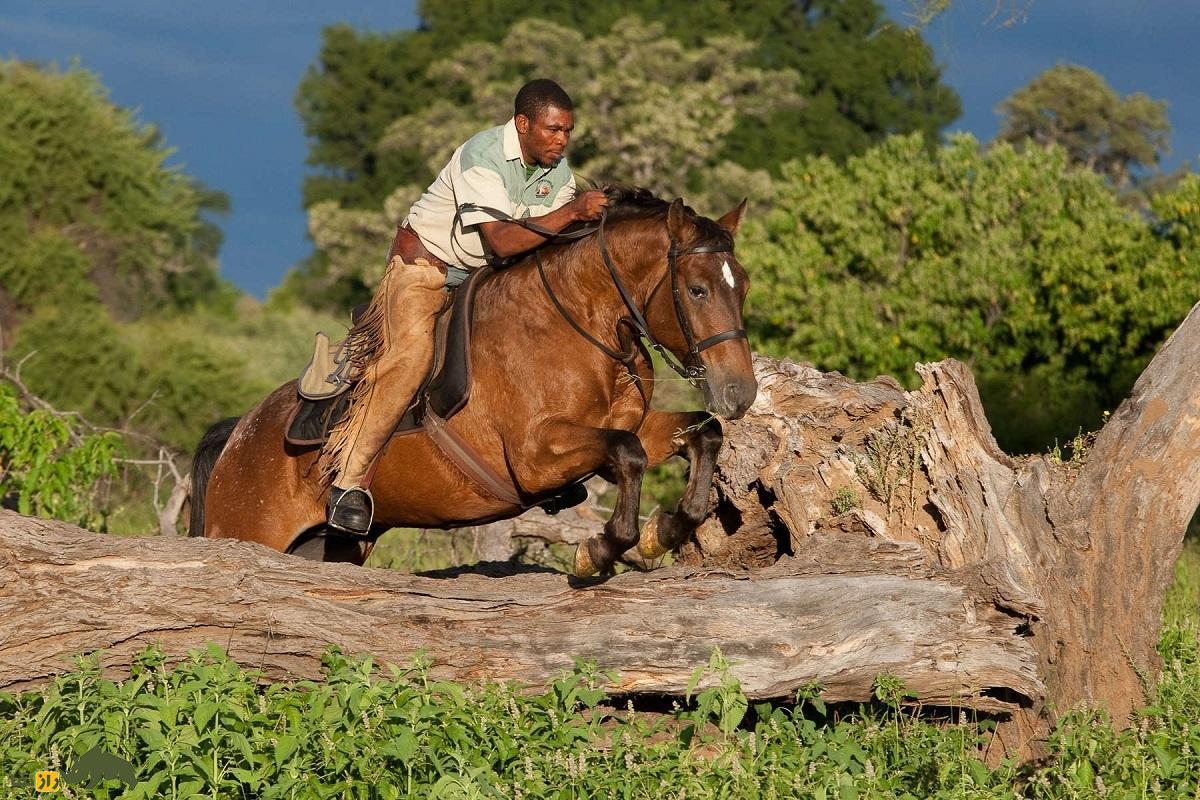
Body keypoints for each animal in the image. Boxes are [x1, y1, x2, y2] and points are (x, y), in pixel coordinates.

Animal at [190, 188, 753, 575]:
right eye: (698, 290)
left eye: (742, 286)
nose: (739, 392)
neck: (581, 324)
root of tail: (237, 433)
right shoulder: (534, 456)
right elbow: (629, 454)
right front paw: (598, 551)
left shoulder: (627, 429)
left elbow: (702, 433)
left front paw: (666, 531)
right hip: (249, 529)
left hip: (331, 547)